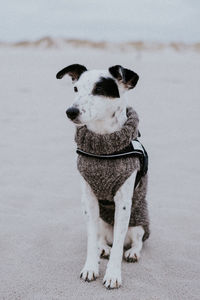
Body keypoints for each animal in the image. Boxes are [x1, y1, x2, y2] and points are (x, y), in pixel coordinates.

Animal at [55, 63, 149, 288]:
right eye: (75, 89)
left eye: (99, 90)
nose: (70, 111)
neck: (103, 147)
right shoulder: (89, 199)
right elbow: (91, 239)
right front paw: (90, 267)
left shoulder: (123, 203)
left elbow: (119, 247)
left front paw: (113, 274)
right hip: (100, 220)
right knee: (101, 238)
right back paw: (103, 248)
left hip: (139, 221)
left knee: (136, 240)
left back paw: (132, 252)